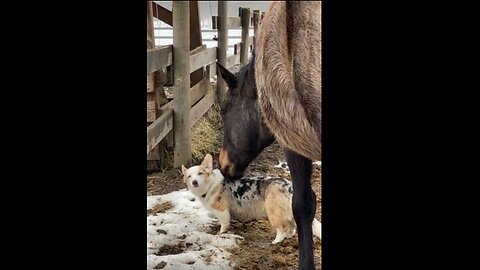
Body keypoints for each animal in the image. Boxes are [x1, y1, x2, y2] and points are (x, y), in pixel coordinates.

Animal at [181, 154, 322, 245]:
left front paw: (219, 234)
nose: (194, 182)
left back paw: (276, 242)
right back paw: (288, 237)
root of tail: (289, 186)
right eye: (189, 176)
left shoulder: (222, 211)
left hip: (274, 212)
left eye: (200, 173)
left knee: (282, 228)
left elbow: (224, 224)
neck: (210, 185)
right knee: (292, 226)